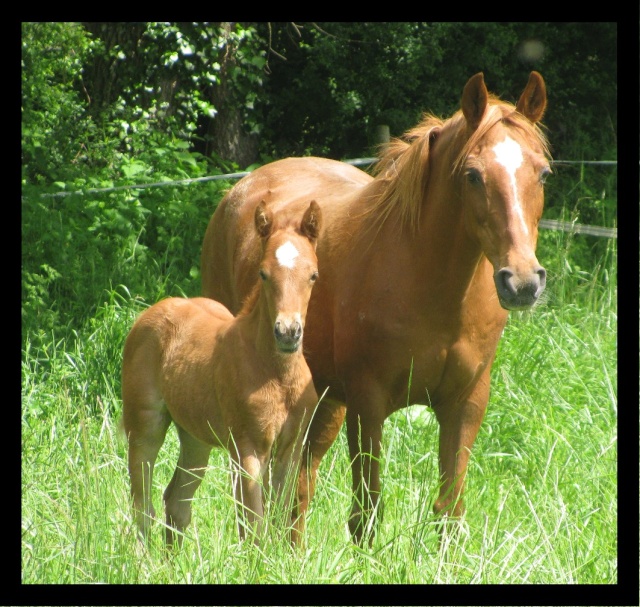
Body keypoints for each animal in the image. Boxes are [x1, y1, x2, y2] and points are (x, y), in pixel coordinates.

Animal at [121, 200, 320, 548]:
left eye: (313, 275)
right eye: (263, 274)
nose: (288, 333)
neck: (277, 376)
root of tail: (153, 310)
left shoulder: (290, 449)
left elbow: (281, 518)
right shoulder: (247, 448)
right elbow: (253, 527)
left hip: (195, 437)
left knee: (176, 501)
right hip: (145, 424)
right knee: (143, 505)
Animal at [201, 72, 552, 548]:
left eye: (543, 172)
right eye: (473, 175)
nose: (522, 281)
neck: (434, 289)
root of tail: (240, 190)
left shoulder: (465, 404)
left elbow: (449, 511)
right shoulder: (368, 402)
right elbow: (366, 512)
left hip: (324, 403)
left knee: (297, 486)